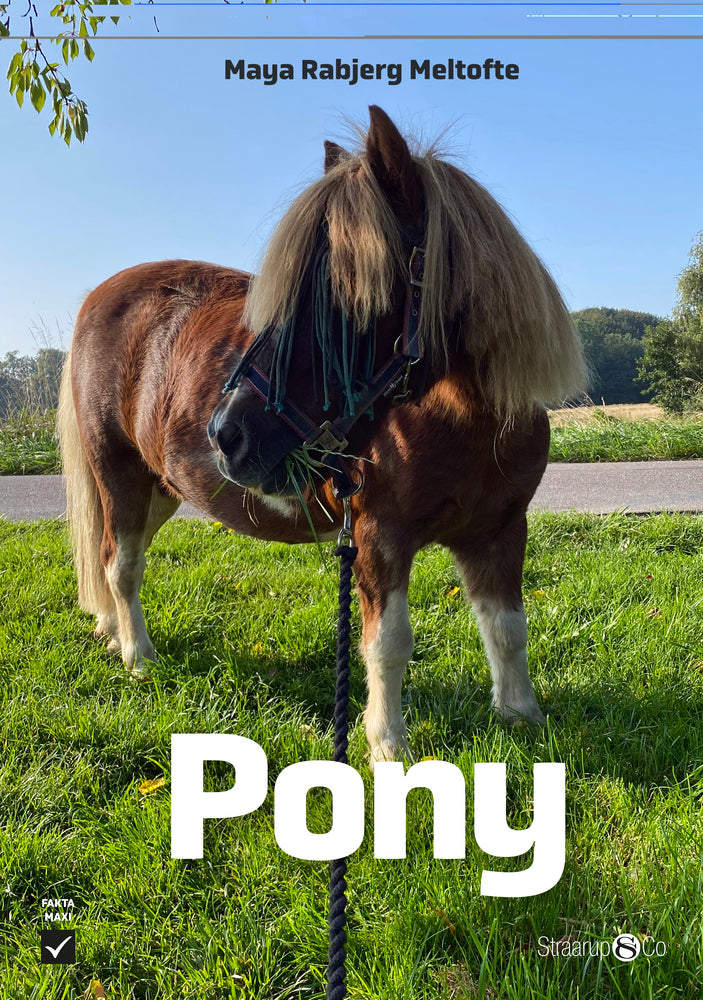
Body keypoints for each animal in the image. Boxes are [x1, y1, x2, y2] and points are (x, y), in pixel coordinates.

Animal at [57, 106, 585, 762]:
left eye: (342, 288)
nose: (226, 434)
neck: (466, 424)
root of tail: (97, 299)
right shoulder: (377, 535)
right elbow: (389, 643)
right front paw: (388, 746)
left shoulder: (500, 530)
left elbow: (508, 628)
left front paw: (521, 718)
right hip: (119, 474)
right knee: (120, 563)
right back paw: (138, 656)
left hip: (160, 488)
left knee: (111, 555)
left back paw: (111, 630)